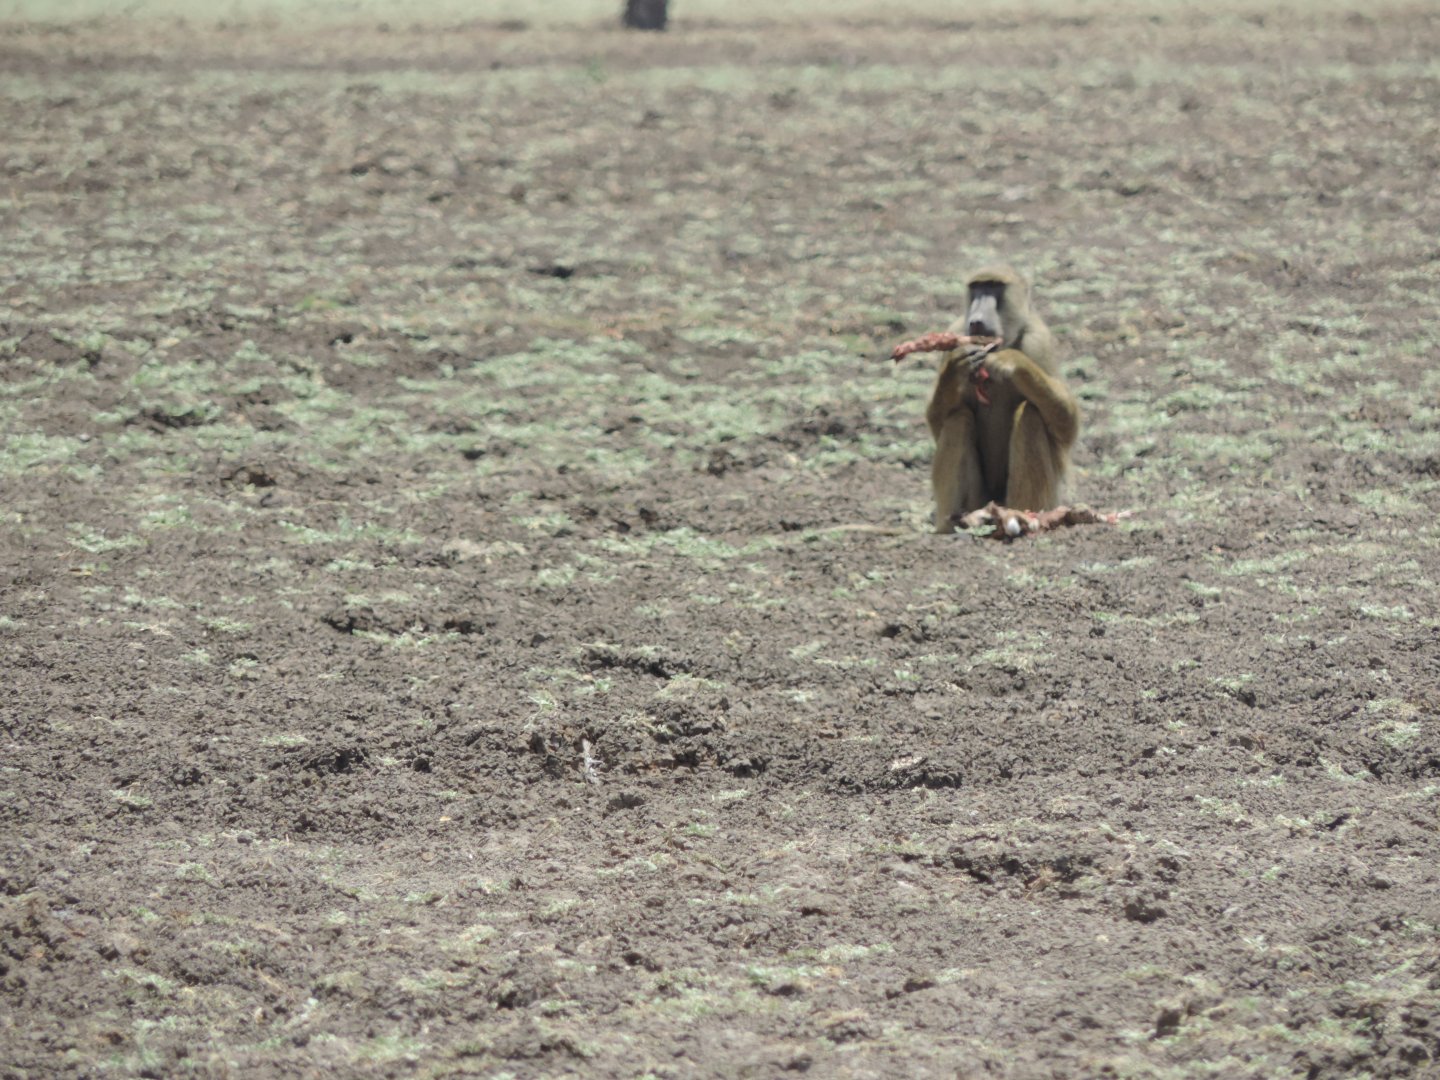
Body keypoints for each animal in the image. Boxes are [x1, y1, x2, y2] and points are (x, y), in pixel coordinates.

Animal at [925, 266, 1079, 533]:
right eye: (976, 288)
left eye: (994, 287)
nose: (976, 320)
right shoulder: (956, 334)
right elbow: (939, 422)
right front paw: (955, 369)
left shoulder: (1038, 341)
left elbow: (1067, 431)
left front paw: (1012, 363)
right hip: (979, 501)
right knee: (958, 419)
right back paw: (951, 526)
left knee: (1029, 415)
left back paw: (1023, 518)